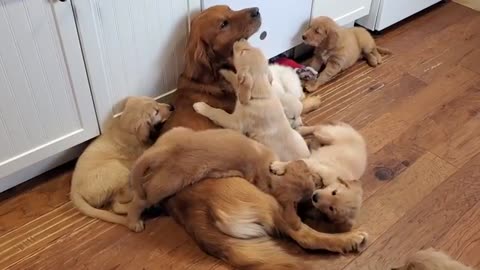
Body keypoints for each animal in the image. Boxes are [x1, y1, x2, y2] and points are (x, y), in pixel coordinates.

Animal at [68, 96, 172, 227]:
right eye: (156, 112)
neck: (124, 127)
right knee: (124, 198)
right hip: (117, 169)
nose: (172, 106)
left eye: (156, 101)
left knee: (116, 205)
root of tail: (74, 191)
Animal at [126, 127, 316, 232]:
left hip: (174, 135)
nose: (314, 194)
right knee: (139, 201)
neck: (268, 174)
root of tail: (164, 151)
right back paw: (134, 222)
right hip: (167, 184)